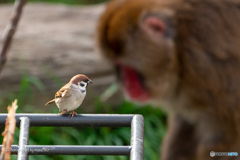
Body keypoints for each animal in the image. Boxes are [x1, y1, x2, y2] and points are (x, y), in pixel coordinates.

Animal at [96, 0, 240, 159]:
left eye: (126, 66)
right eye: (117, 65)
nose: (126, 86)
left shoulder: (213, 69)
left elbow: (224, 136)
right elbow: (184, 125)